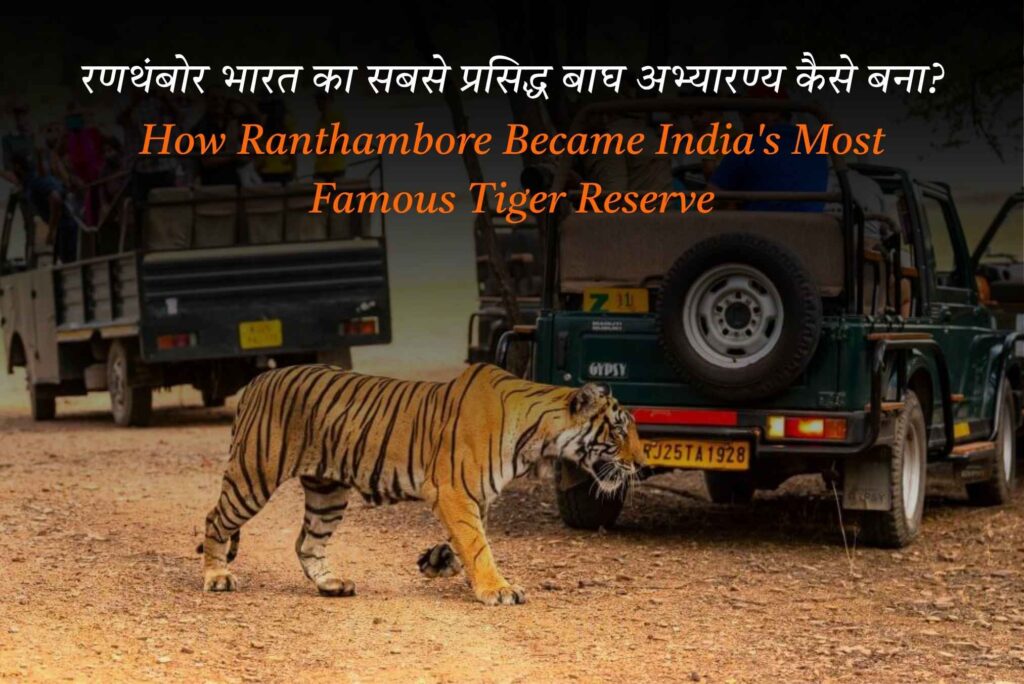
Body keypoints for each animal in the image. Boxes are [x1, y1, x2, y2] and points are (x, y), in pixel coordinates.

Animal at [200, 362, 643, 606]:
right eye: (620, 430)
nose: (641, 463)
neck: (538, 436)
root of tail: (258, 380)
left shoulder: (475, 497)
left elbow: (469, 541)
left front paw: (438, 561)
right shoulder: (454, 491)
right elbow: (478, 544)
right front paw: (497, 589)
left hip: (328, 492)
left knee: (306, 542)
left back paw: (331, 584)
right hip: (254, 474)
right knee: (215, 520)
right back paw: (217, 577)